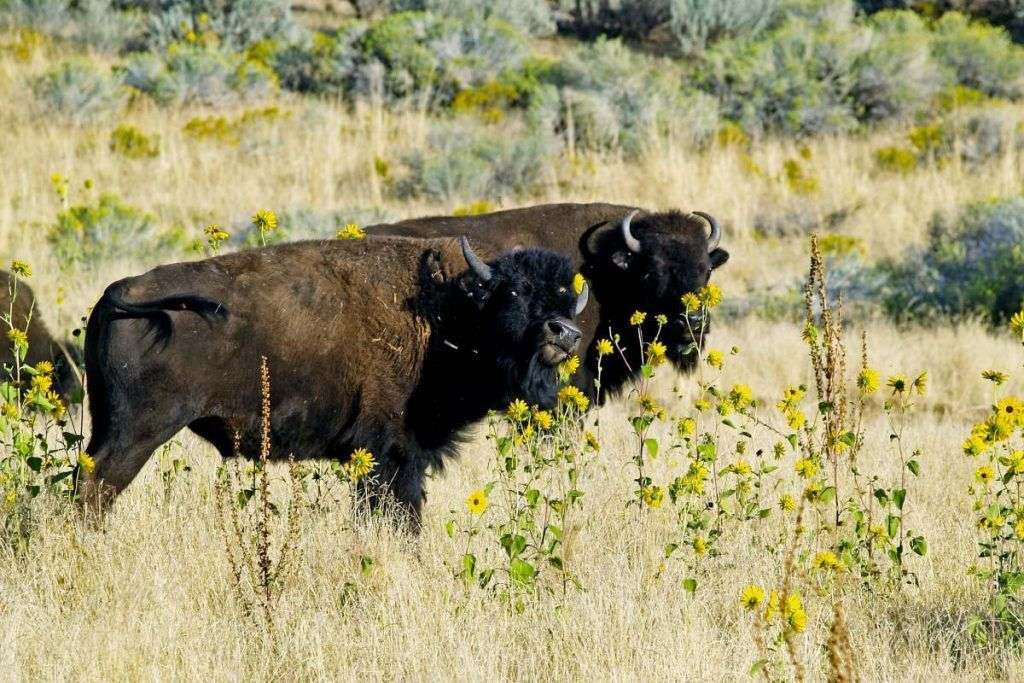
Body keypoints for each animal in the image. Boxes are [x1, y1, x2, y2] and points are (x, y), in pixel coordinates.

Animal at [79, 236, 589, 524]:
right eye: (516, 291)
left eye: (567, 297)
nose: (564, 332)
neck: (448, 307)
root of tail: (120, 289)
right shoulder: (392, 453)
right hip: (138, 433)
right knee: (95, 489)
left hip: (107, 424)